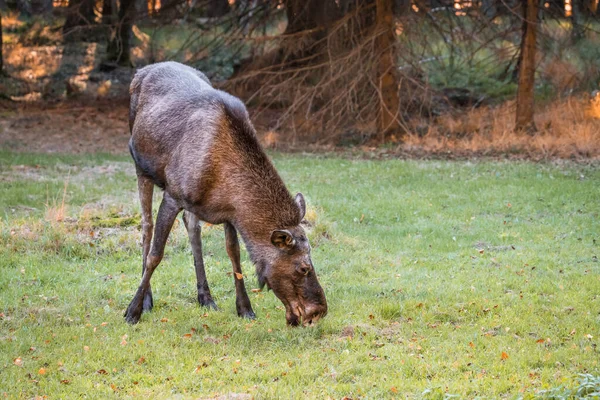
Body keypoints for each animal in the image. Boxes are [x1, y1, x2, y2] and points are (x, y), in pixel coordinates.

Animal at [123, 61, 326, 324]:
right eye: (303, 268)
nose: (320, 311)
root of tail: (142, 70)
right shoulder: (173, 195)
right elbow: (156, 255)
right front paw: (133, 310)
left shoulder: (228, 213)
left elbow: (235, 254)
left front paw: (245, 307)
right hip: (141, 167)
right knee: (146, 226)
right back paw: (147, 298)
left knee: (193, 227)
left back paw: (205, 297)